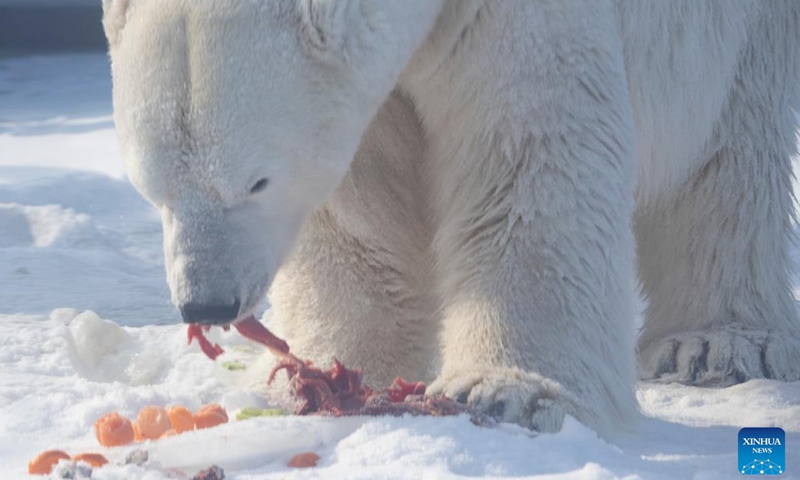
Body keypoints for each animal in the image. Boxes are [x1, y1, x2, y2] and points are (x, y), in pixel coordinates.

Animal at [101, 0, 800, 436]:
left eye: (256, 180)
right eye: (152, 188)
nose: (206, 303)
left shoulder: (514, 23)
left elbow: (531, 157)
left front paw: (501, 391)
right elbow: (361, 212)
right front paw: (321, 375)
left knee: (728, 148)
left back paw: (717, 343)